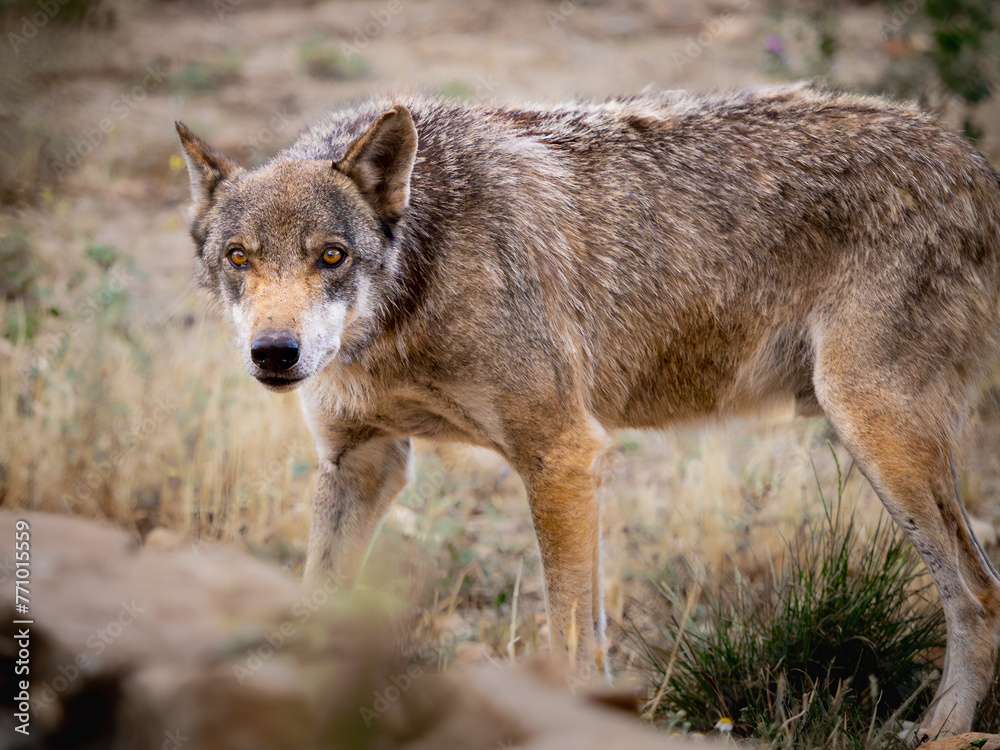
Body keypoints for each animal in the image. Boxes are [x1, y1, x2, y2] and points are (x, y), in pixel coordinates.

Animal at [176, 83, 1000, 740]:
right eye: (240, 258)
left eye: (332, 257)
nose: (274, 353)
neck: (411, 302)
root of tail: (976, 165)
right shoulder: (361, 461)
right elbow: (315, 608)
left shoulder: (564, 455)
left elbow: (571, 642)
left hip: (875, 431)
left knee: (979, 592)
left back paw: (943, 729)